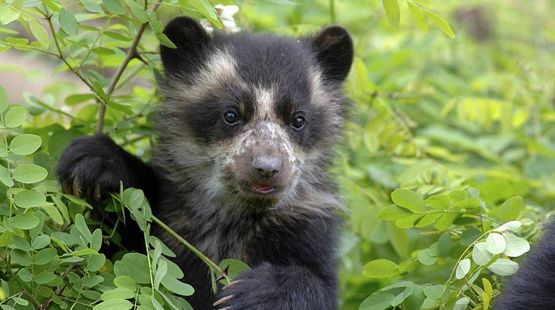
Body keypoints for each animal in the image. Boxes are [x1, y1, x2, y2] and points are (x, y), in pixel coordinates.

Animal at [56, 17, 354, 310]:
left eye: (298, 119)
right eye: (231, 114)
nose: (267, 169)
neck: (230, 216)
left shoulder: (306, 224)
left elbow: (320, 285)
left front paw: (253, 294)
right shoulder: (170, 215)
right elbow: (112, 245)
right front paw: (94, 162)